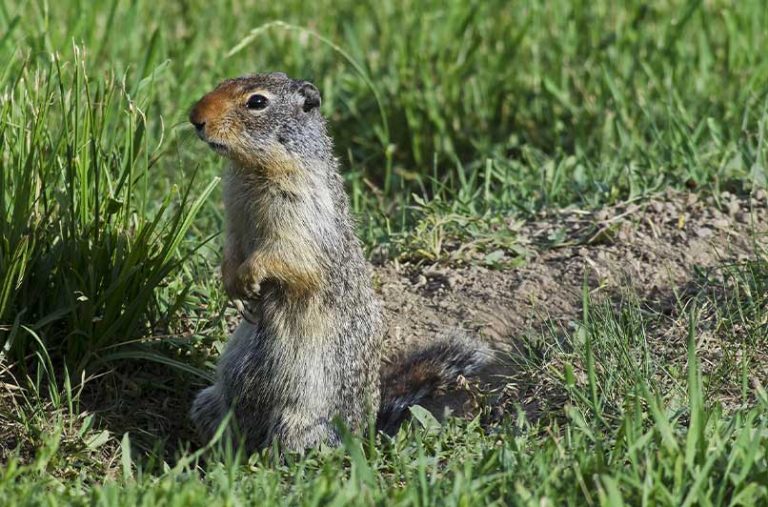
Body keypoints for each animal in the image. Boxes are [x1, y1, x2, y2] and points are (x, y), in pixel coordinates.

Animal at [188, 71, 488, 452]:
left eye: (257, 101)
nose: (195, 117)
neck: (252, 172)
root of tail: (367, 432)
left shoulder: (300, 213)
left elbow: (284, 255)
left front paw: (249, 278)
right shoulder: (234, 216)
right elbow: (231, 248)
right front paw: (232, 285)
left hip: (296, 426)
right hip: (211, 401)